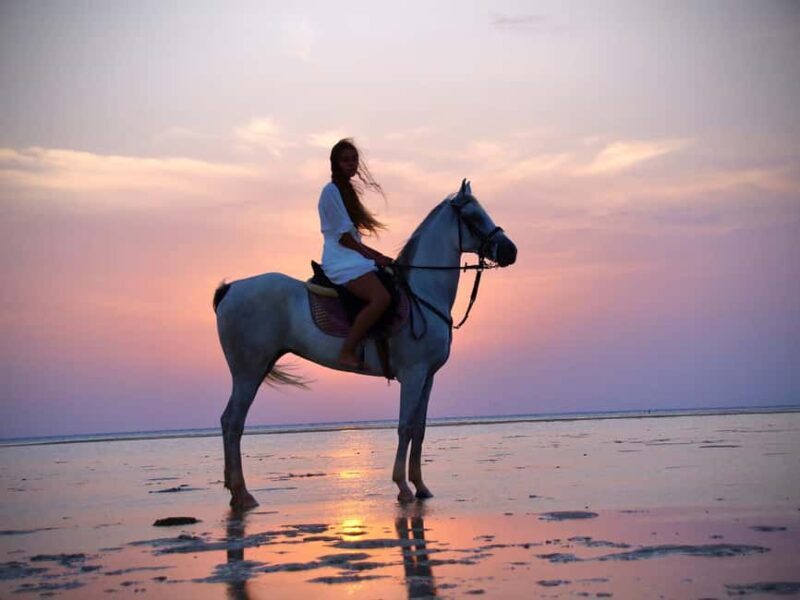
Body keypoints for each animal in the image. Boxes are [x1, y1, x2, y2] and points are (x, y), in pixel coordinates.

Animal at [213, 180, 517, 510]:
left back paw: (235, 492)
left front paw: (421, 486)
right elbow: (405, 427)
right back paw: (242, 494)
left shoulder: (428, 377)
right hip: (248, 371)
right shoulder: (413, 374)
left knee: (229, 421)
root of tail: (230, 289)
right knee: (233, 422)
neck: (423, 294)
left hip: (259, 366)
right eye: (473, 217)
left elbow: (420, 429)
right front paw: (403, 487)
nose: (510, 251)